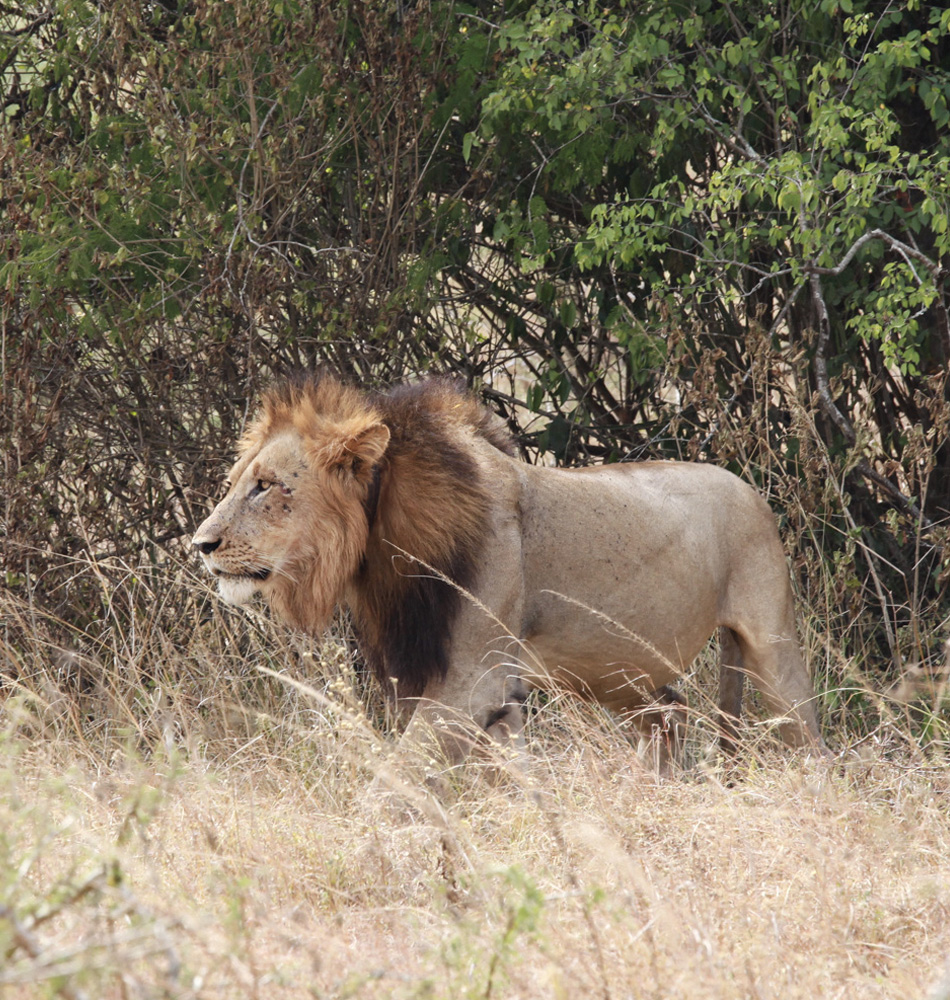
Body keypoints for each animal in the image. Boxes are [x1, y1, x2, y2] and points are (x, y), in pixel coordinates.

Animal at [193, 372, 824, 777]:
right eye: (236, 482)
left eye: (266, 486)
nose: (201, 545)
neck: (379, 550)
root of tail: (750, 488)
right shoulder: (450, 683)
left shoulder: (472, 681)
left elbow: (396, 779)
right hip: (621, 672)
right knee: (670, 715)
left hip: (770, 644)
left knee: (808, 737)